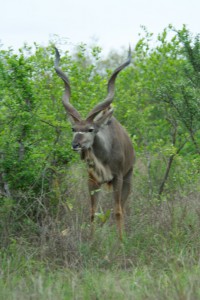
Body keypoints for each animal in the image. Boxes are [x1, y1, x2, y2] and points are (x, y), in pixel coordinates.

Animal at [54, 47, 135, 239]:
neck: (103, 158)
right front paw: (92, 241)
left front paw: (121, 241)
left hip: (128, 177)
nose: (75, 144)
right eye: (73, 129)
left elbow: (117, 211)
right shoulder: (92, 180)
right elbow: (92, 212)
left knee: (123, 207)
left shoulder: (118, 177)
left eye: (90, 129)